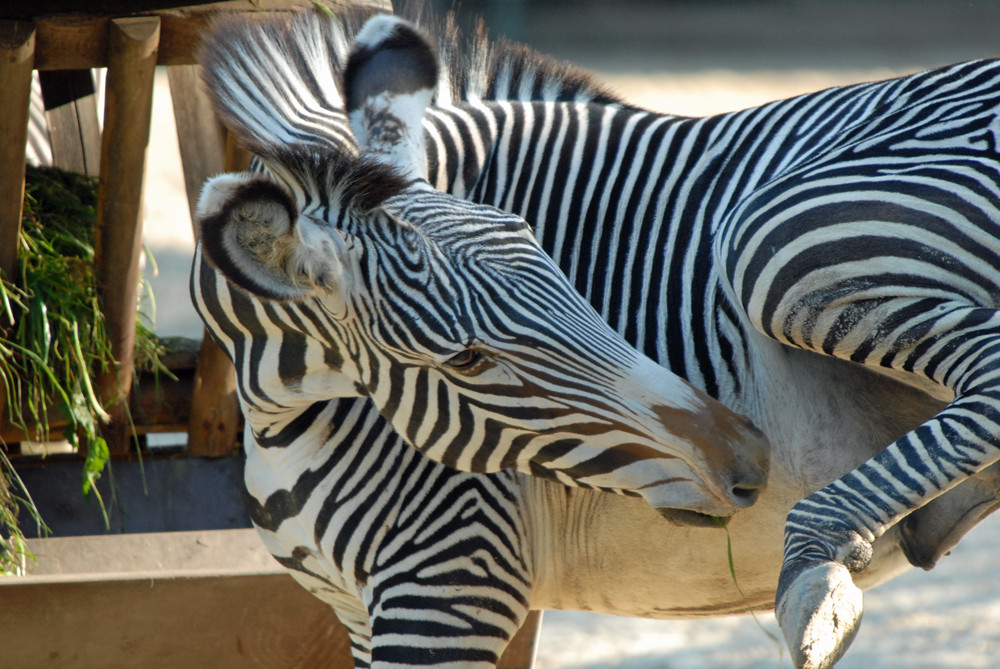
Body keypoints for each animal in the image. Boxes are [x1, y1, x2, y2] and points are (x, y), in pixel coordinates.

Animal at [191, 9, 1000, 668]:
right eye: (467, 359)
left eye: (564, 271)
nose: (749, 456)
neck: (281, 406)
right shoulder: (362, 609)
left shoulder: (450, 574)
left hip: (774, 230)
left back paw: (817, 571)